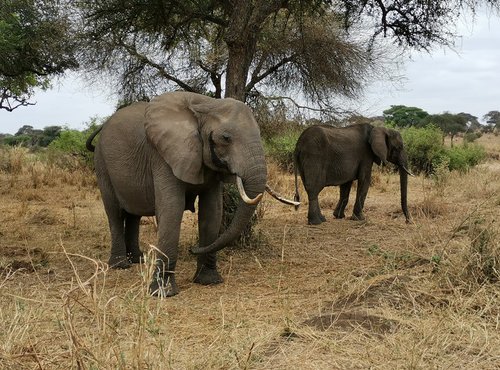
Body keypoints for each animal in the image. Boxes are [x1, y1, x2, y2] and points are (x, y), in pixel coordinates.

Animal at [87, 91, 276, 296]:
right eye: (226, 138)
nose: (193, 249)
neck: (206, 105)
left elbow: (212, 211)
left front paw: (209, 281)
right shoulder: (163, 155)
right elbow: (172, 209)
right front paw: (163, 293)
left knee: (133, 214)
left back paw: (138, 260)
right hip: (101, 163)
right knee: (114, 211)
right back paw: (121, 265)